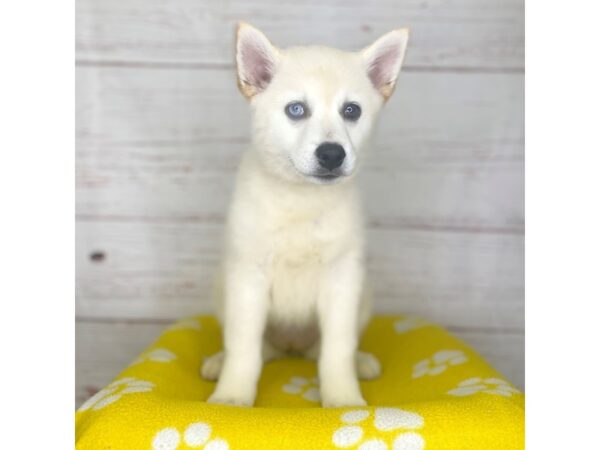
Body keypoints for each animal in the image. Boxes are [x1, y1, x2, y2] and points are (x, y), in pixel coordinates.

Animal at [202, 22, 408, 408]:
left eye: (351, 111)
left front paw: (343, 399)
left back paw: (360, 362)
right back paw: (219, 362)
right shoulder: (248, 278)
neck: (301, 199)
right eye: (296, 109)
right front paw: (232, 396)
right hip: (224, 289)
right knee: (259, 349)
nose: (332, 154)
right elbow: (243, 347)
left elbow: (337, 350)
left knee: (323, 350)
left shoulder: (342, 280)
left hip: (363, 295)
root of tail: (292, 346)